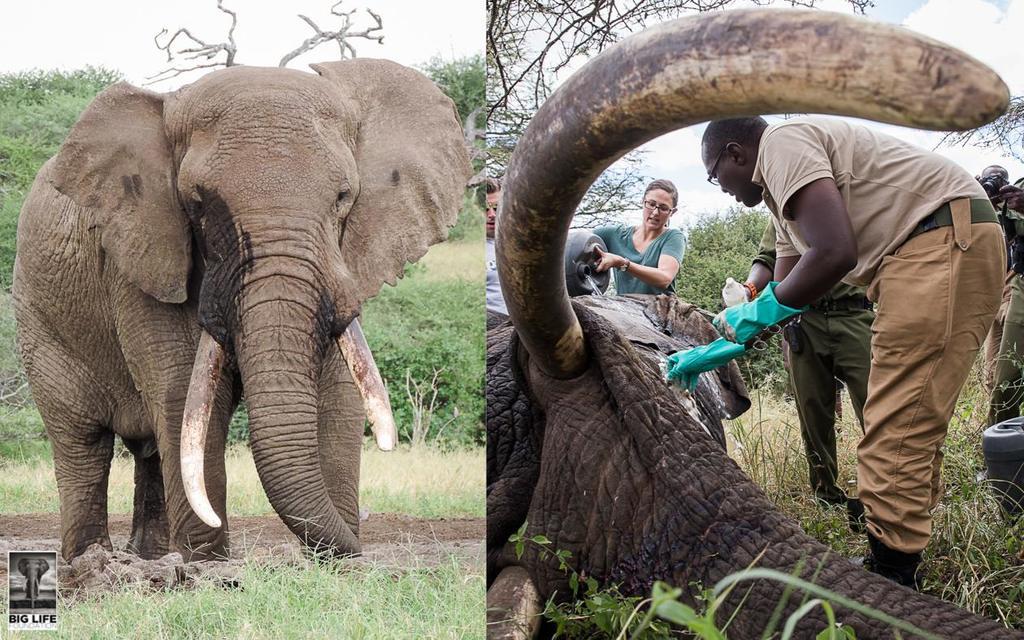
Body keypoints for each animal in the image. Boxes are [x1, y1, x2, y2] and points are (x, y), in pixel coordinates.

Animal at [16, 57, 471, 561]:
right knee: (82, 444)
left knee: (146, 449)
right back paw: (90, 560)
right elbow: (184, 394)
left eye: (343, 198)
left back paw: (148, 557)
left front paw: (334, 564)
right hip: (39, 323)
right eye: (198, 204)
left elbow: (339, 390)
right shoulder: (139, 258)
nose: (358, 544)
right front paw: (207, 565)